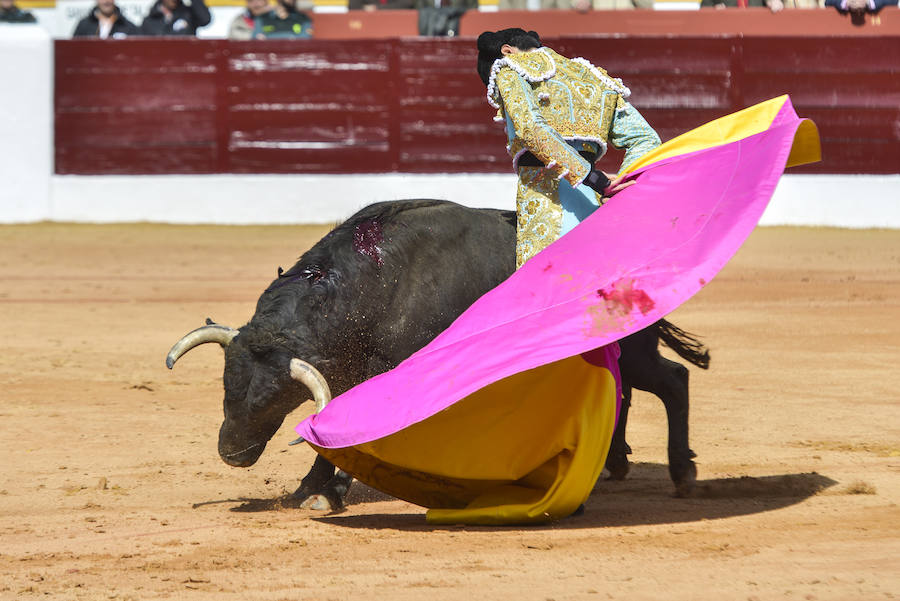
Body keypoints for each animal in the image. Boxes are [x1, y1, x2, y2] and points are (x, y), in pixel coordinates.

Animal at [165, 199, 708, 508]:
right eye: (226, 387)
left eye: (272, 398)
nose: (231, 452)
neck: (375, 287)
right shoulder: (342, 375)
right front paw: (314, 490)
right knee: (624, 392)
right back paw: (614, 464)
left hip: (633, 347)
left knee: (672, 381)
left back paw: (682, 475)